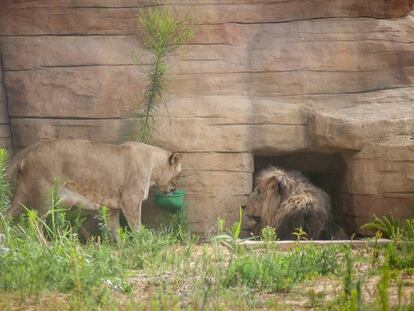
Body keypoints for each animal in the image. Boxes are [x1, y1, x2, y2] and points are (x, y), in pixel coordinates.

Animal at [5, 140, 182, 241]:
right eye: (178, 175)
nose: (174, 188)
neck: (154, 167)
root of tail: (29, 150)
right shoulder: (130, 200)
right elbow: (136, 225)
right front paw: (142, 242)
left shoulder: (112, 207)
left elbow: (114, 228)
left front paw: (121, 246)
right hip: (47, 196)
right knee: (34, 222)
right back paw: (45, 246)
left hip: (22, 194)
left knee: (7, 216)